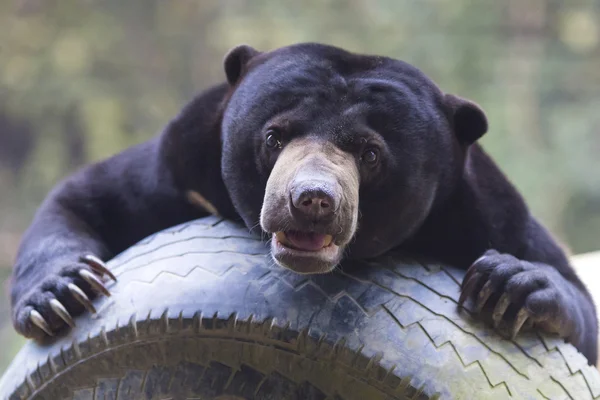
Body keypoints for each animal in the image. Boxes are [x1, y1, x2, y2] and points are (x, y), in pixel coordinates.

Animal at [8, 43, 596, 366]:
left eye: (369, 154)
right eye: (275, 137)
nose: (311, 200)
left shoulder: (483, 210)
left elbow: (572, 297)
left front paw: (509, 285)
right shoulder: (181, 165)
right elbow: (90, 197)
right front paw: (62, 294)